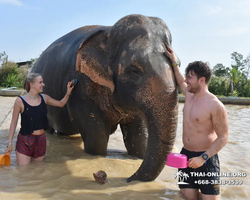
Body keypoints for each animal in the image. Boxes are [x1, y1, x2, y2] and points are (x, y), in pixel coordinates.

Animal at [31, 14, 179, 182]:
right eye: (134, 71)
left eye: (178, 64)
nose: (129, 178)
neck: (109, 31)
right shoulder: (81, 86)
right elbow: (98, 139)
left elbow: (138, 138)